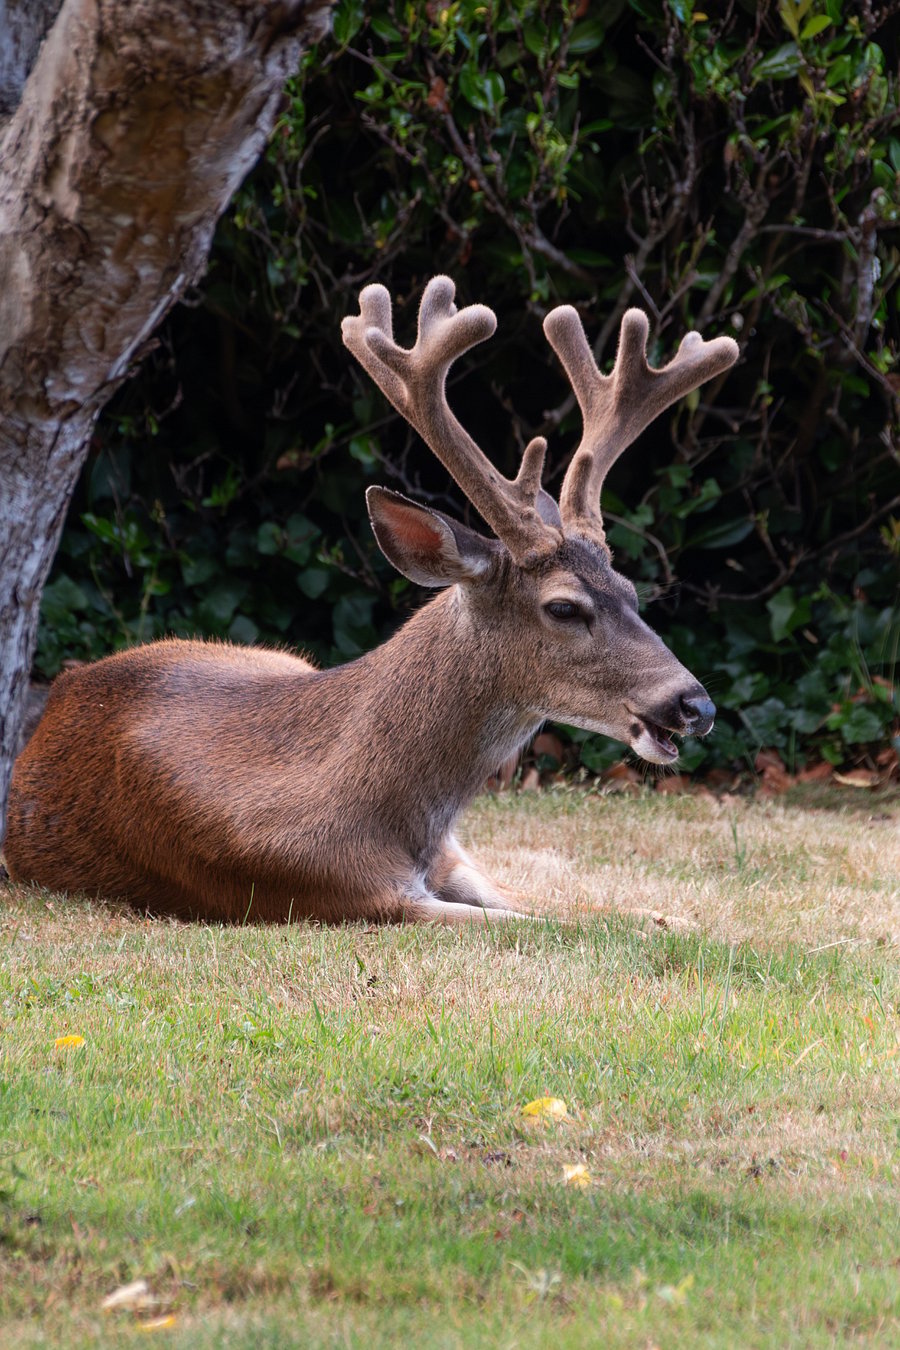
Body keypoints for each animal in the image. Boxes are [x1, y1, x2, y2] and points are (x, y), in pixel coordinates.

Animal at [3, 277, 738, 925]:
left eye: (631, 592)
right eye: (564, 607)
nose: (695, 704)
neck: (382, 807)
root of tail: (62, 688)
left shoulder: (452, 860)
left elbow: (588, 910)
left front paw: (676, 919)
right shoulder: (335, 890)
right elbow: (563, 927)